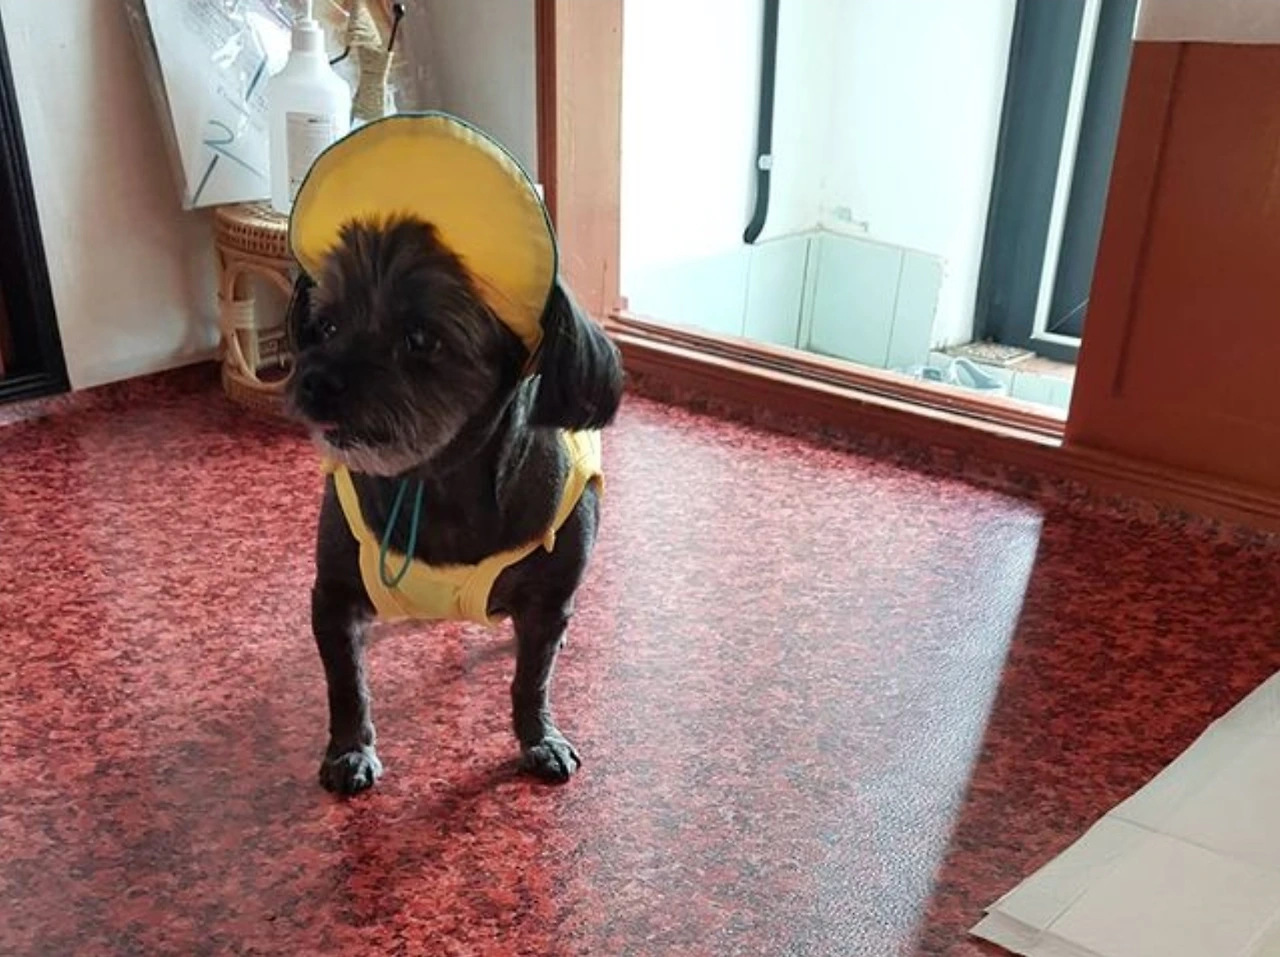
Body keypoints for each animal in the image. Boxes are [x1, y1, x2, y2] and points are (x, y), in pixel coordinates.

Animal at [284, 215, 623, 795]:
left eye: (420, 338)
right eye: (324, 326)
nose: (313, 378)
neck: (434, 479)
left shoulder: (547, 601)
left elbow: (531, 681)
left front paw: (539, 738)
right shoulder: (332, 597)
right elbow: (346, 685)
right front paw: (350, 751)